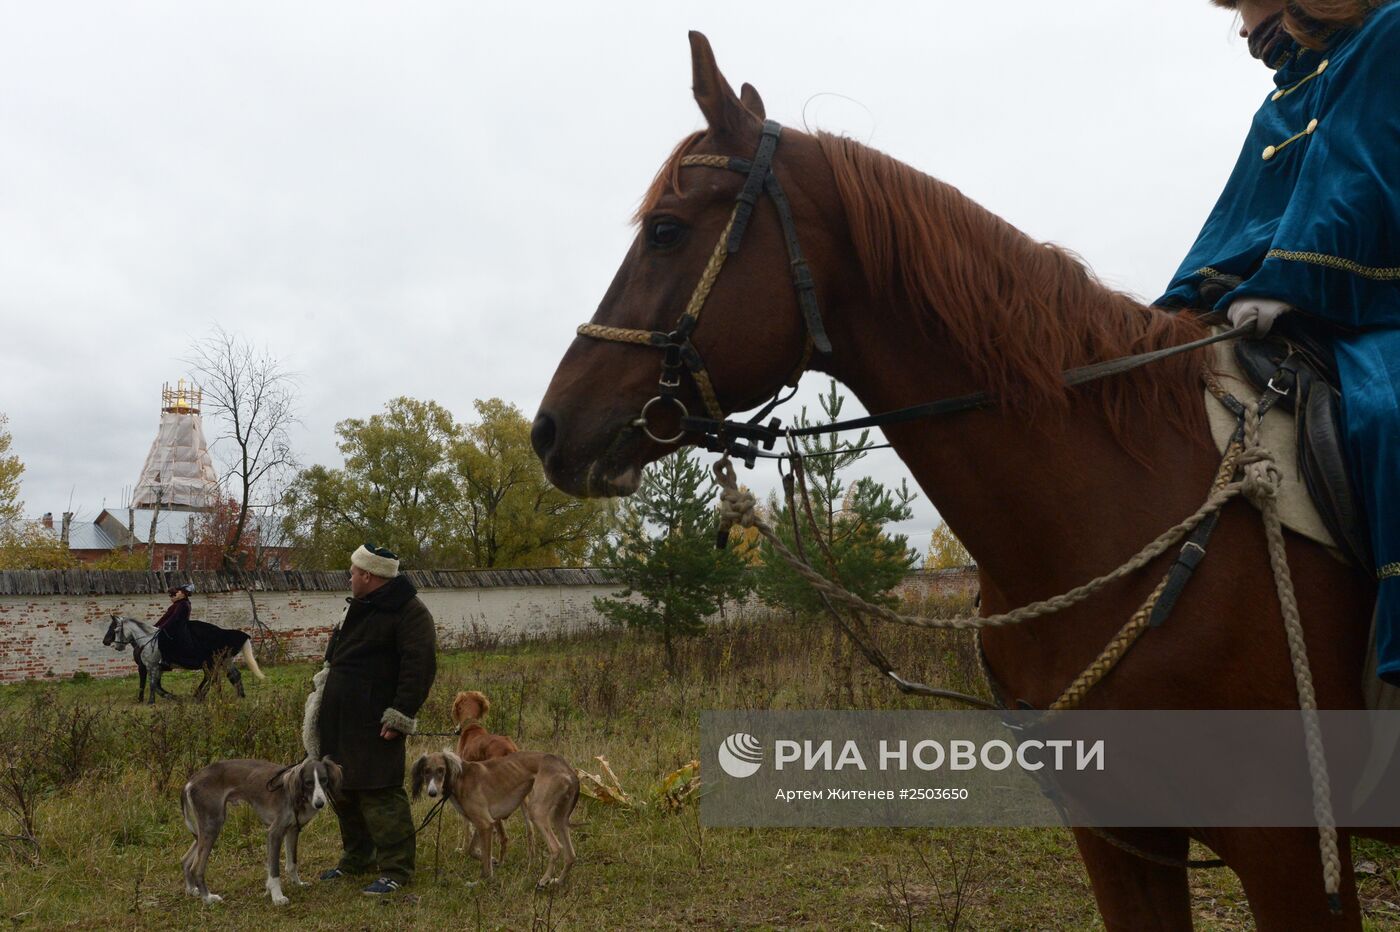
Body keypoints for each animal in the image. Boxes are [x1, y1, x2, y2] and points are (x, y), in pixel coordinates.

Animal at [179, 755, 340, 901]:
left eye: (324, 780)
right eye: (308, 783)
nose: (320, 803)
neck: (296, 795)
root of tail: (191, 781)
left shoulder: (292, 830)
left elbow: (292, 863)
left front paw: (297, 884)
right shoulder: (274, 832)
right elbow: (274, 869)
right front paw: (277, 897)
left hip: (206, 828)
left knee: (185, 860)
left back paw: (192, 889)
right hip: (212, 825)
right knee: (196, 868)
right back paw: (207, 898)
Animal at [408, 744, 579, 884]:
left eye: (441, 770)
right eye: (426, 771)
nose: (432, 792)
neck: (460, 778)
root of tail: (567, 768)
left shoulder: (485, 823)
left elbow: (484, 862)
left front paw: (484, 880)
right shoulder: (483, 823)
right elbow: (472, 851)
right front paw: (493, 860)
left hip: (536, 811)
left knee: (556, 848)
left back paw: (544, 880)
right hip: (559, 817)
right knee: (571, 855)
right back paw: (558, 881)